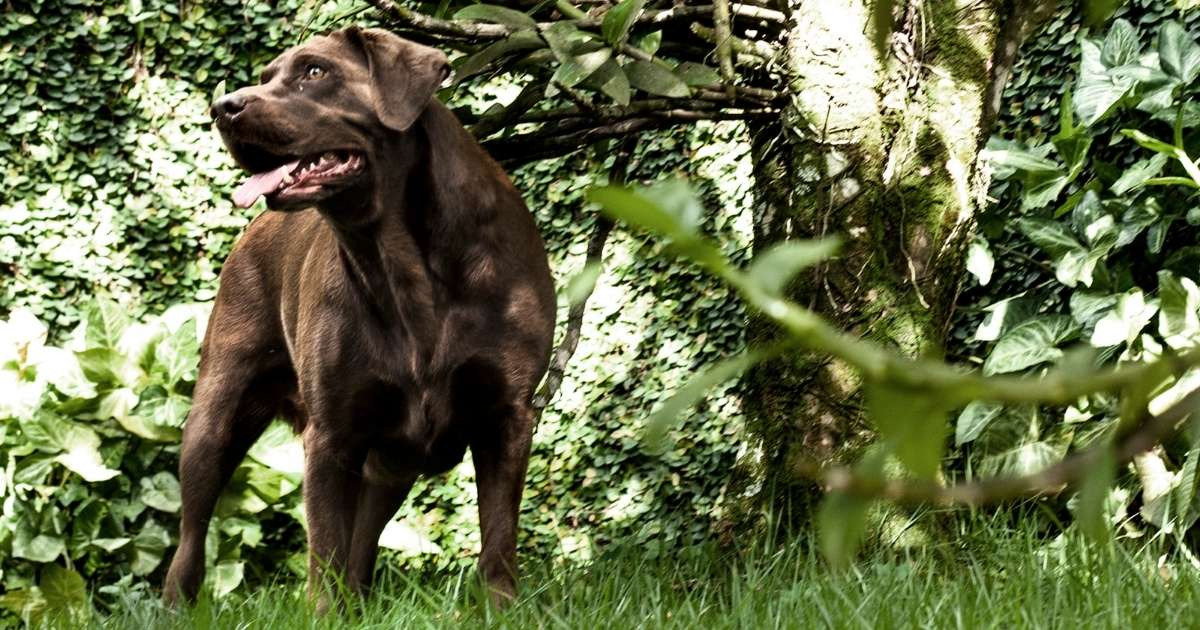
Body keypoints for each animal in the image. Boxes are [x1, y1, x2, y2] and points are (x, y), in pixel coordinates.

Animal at [162, 27, 556, 607]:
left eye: (315, 72)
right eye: (265, 77)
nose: (223, 106)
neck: (404, 264)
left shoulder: (507, 416)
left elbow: (499, 536)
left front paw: (500, 607)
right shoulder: (331, 435)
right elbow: (324, 545)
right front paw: (324, 613)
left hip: (392, 462)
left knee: (364, 540)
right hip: (216, 414)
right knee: (192, 533)